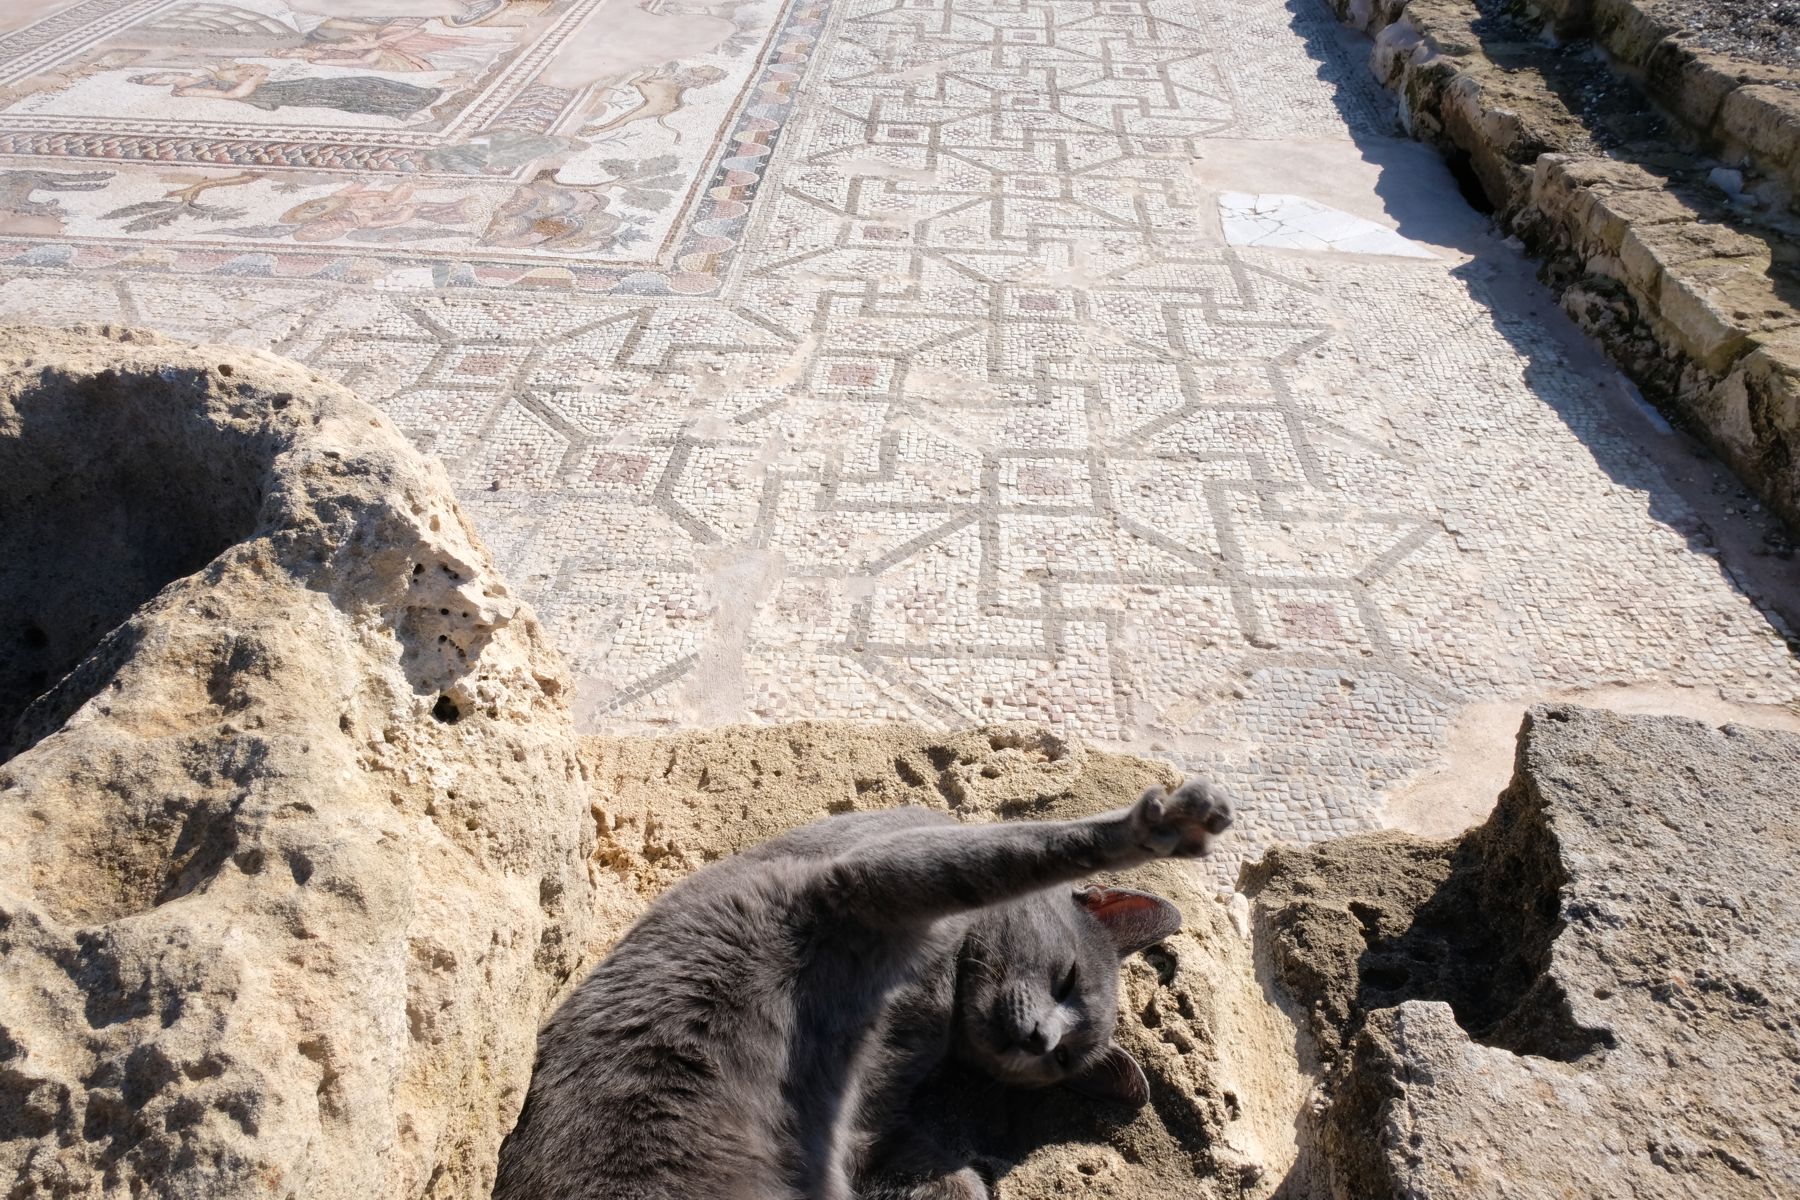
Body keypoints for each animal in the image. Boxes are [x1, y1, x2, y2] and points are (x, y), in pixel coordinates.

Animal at [493, 773, 1238, 1194]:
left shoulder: (873, 1127)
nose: (1036, 1038)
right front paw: (1161, 825)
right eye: (1067, 979)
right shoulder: (869, 878)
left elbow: (945, 1177)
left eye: (1063, 1061)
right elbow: (1024, 848)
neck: (936, 1005)